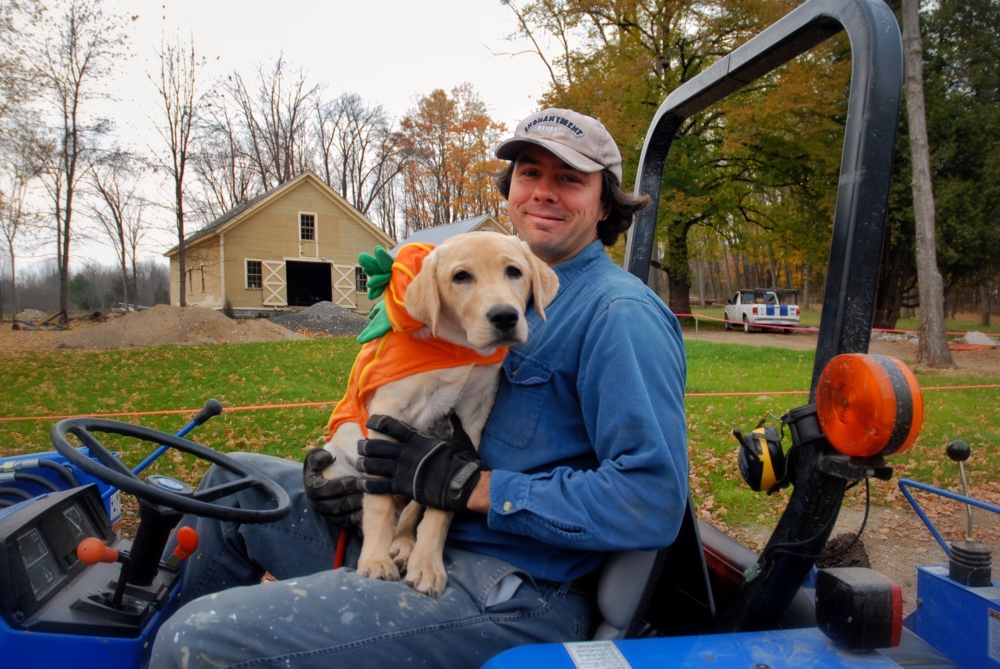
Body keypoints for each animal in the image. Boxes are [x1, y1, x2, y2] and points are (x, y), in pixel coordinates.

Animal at [324, 232, 560, 596]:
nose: (505, 317)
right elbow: (378, 502)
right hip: (338, 459)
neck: (457, 348)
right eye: (461, 277)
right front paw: (375, 560)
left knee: (412, 503)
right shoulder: (386, 413)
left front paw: (427, 565)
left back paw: (404, 545)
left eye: (514, 272)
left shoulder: (469, 423)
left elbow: (440, 501)